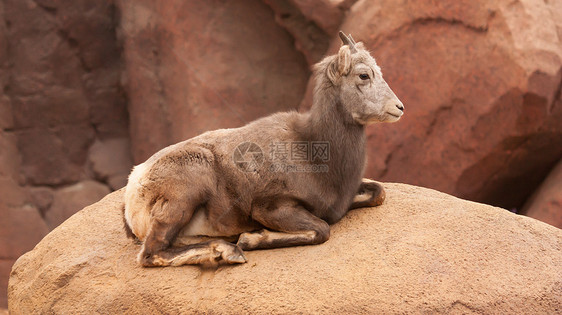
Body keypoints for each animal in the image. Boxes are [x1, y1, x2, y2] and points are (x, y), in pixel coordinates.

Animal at [123, 32, 402, 268]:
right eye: (364, 75)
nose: (399, 108)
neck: (311, 150)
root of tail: (134, 183)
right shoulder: (271, 208)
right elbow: (322, 229)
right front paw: (250, 238)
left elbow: (379, 192)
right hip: (186, 190)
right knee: (151, 253)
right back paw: (228, 252)